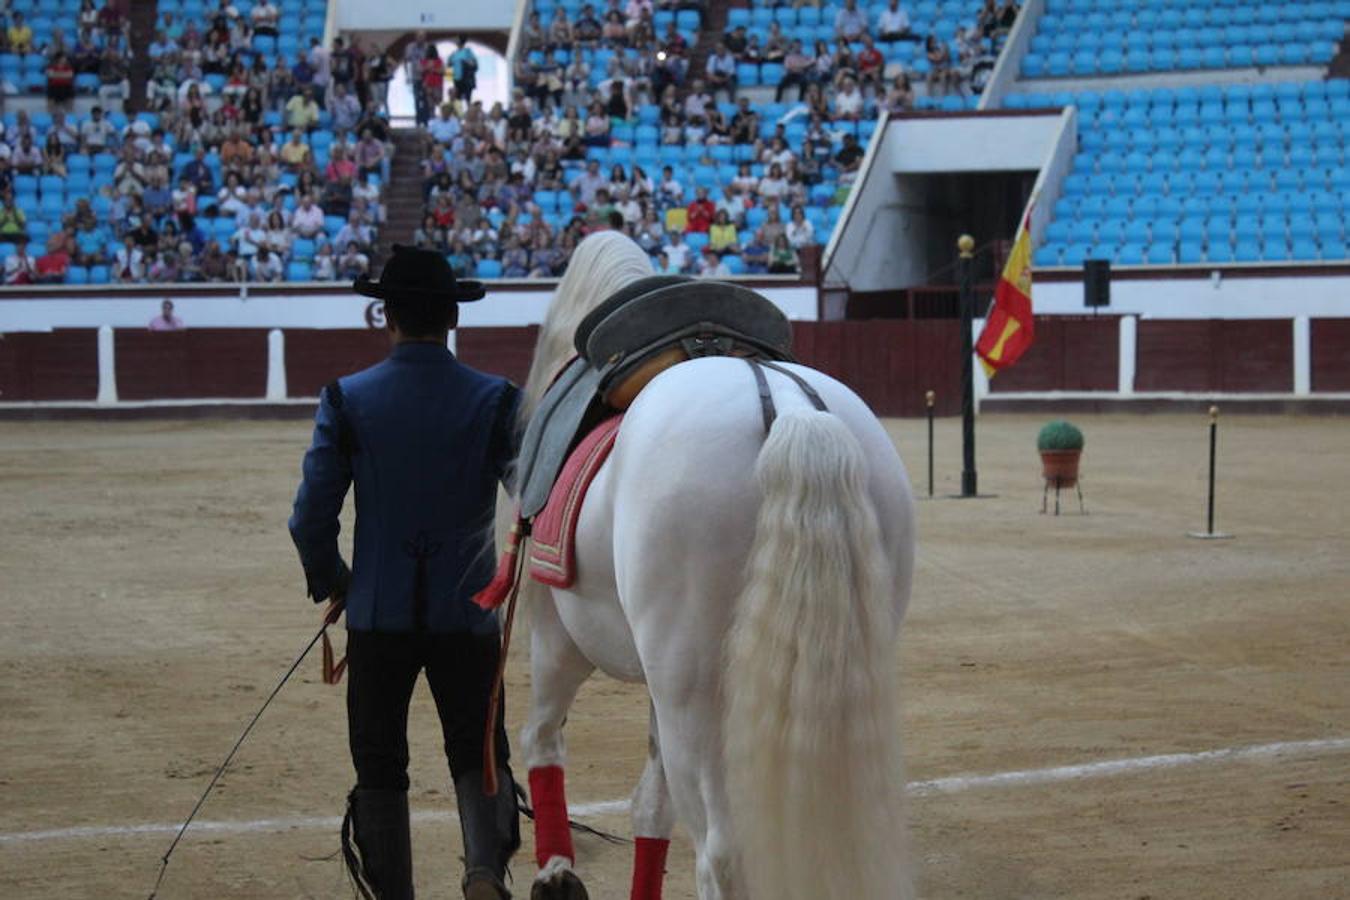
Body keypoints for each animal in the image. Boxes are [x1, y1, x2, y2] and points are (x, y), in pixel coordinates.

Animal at [513, 231, 917, 900]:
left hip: (692, 690)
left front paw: (555, 872)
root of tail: (792, 413)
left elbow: (543, 740)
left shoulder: (556, 634)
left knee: (719, 851)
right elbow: (650, 804)